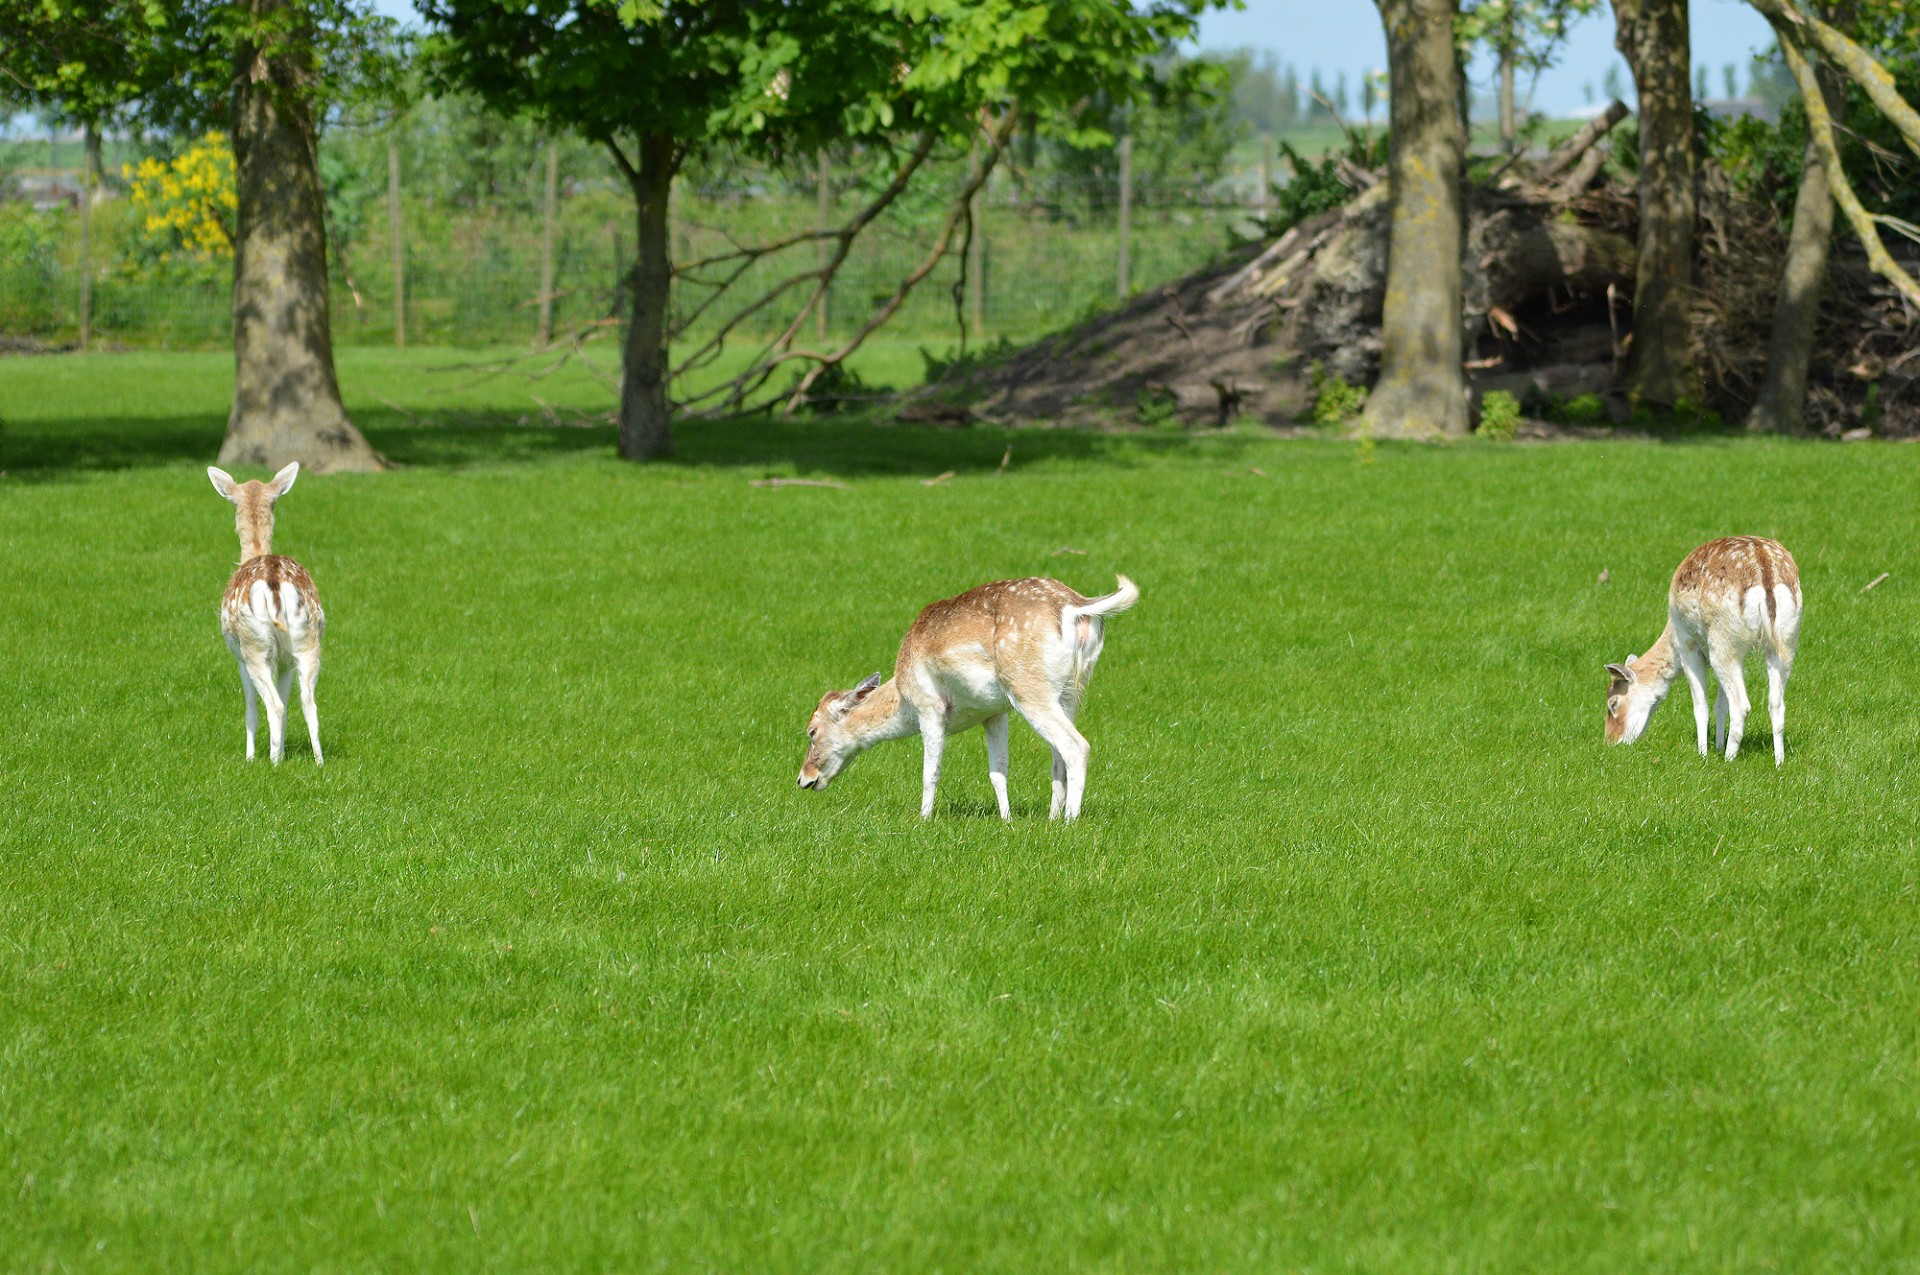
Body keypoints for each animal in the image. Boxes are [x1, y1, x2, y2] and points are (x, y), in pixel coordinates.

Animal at [207, 468, 326, 768]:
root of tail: (274, 582)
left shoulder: (238, 657)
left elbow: (250, 707)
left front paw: (250, 757)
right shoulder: (285, 662)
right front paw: (281, 750)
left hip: (253, 645)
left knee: (274, 705)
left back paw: (273, 764)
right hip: (307, 641)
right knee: (308, 702)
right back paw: (318, 762)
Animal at [798, 576, 1136, 821]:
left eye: (811, 731)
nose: (803, 779)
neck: (903, 696)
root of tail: (1078, 606)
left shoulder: (930, 706)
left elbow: (930, 772)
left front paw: (923, 819)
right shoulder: (993, 712)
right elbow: (998, 771)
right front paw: (1006, 820)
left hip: (1027, 686)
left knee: (1076, 746)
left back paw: (1070, 821)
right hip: (1071, 692)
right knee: (1058, 755)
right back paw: (1053, 817)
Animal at [1605, 533, 1797, 760]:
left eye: (1613, 703)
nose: (1610, 742)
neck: (1670, 633)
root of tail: (1764, 571)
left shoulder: (1686, 643)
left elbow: (1700, 705)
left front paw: (1703, 754)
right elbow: (1720, 705)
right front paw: (1718, 745)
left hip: (1722, 641)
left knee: (1741, 705)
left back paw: (1729, 760)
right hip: (1785, 639)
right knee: (1776, 703)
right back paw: (1779, 761)